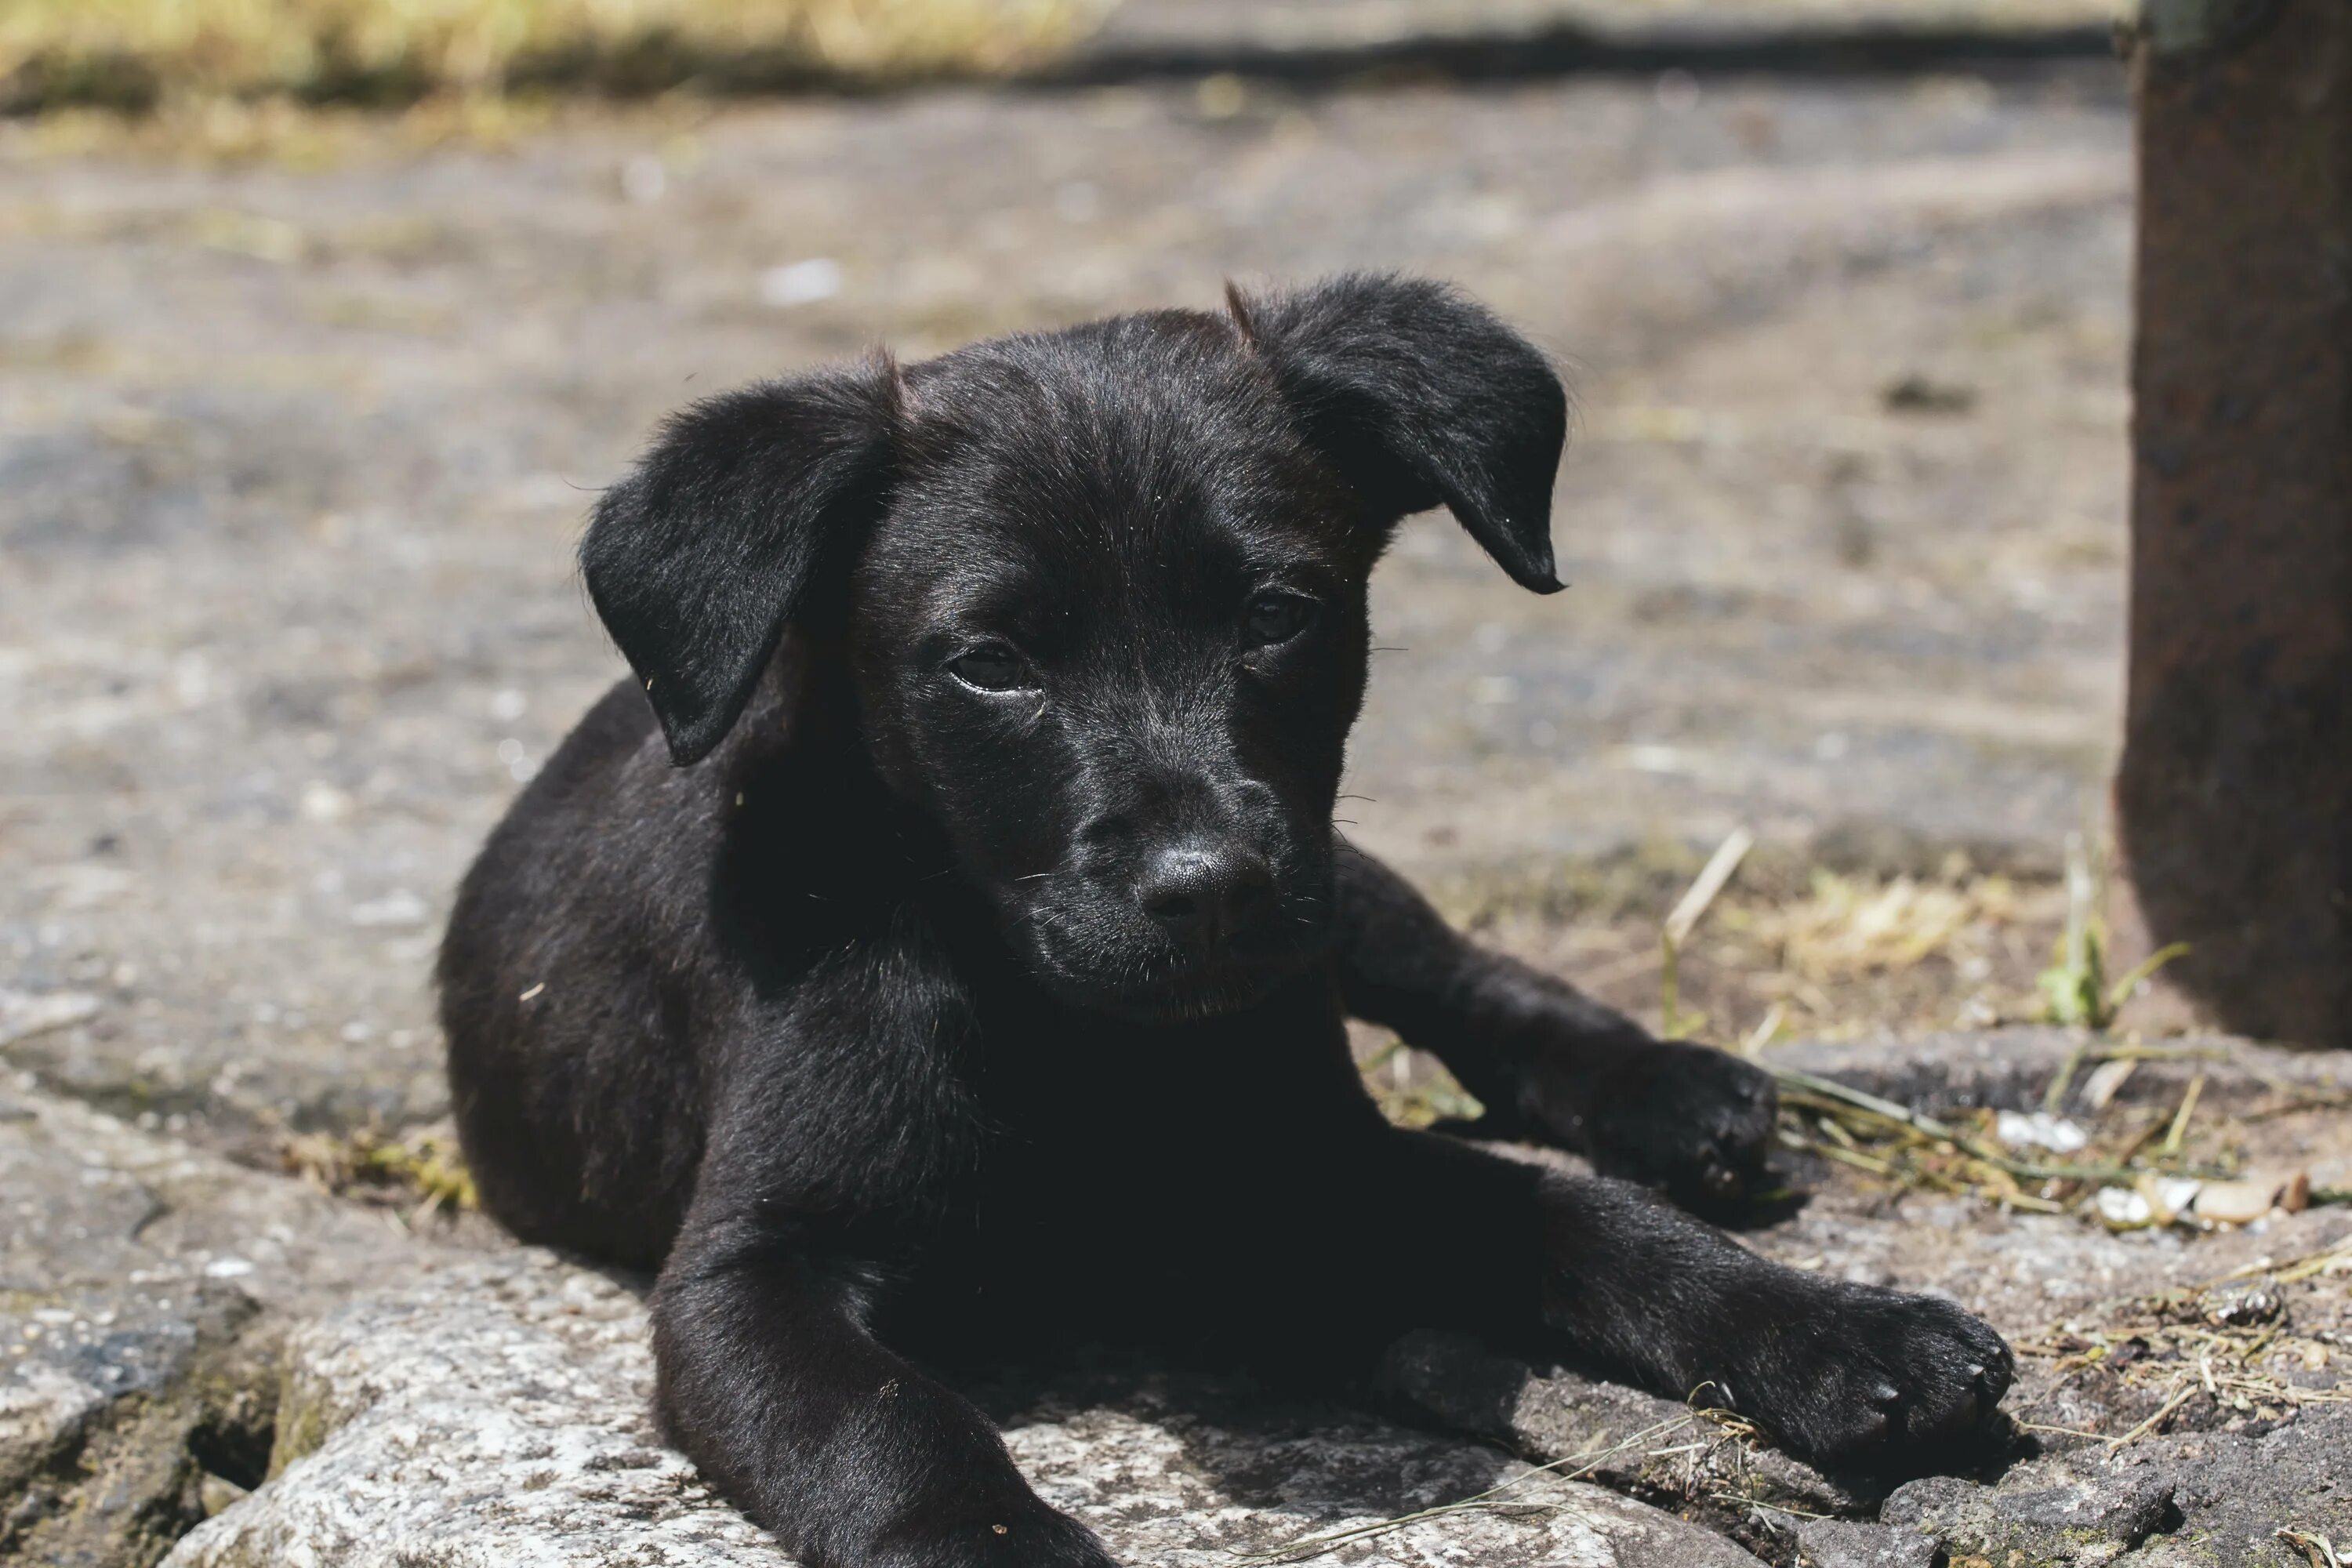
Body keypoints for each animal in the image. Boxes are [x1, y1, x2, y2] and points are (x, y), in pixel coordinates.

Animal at [445, 276, 2023, 1568]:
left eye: (1279, 613)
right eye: (990, 664)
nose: (1210, 888)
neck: (1055, 1020)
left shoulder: (1312, 1159)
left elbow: (1588, 1223)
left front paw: (1831, 1328)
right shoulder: (747, 1276)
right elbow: (884, 1422)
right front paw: (991, 1545)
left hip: (1342, 898)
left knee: (1474, 984)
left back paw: (1673, 1093)